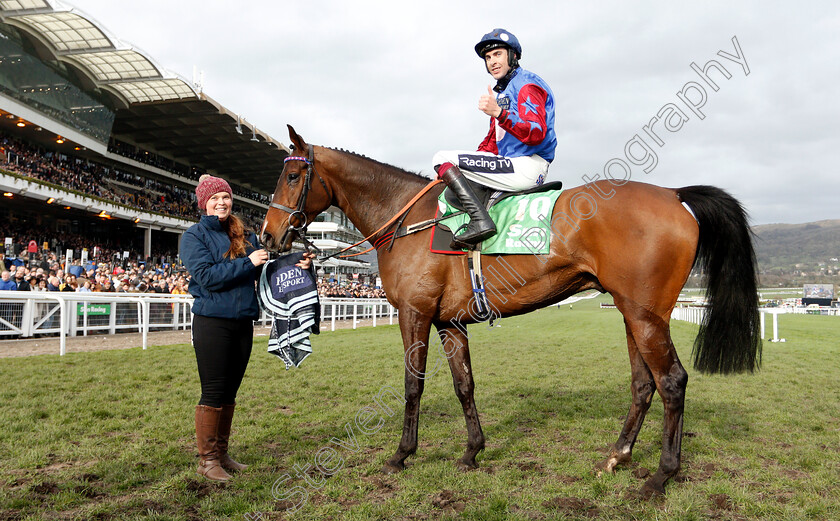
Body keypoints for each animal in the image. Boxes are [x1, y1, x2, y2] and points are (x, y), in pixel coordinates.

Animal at [262, 125, 760, 496]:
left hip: (644, 314)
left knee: (672, 381)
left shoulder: (414, 314)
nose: (268, 236)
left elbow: (412, 386)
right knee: (644, 383)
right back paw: (617, 456)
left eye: (292, 176)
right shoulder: (450, 322)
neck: (407, 219)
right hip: (632, 314)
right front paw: (471, 451)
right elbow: (464, 385)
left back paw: (661, 476)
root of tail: (673, 194)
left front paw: (402, 455)